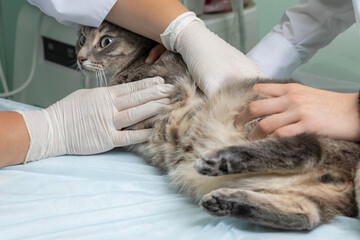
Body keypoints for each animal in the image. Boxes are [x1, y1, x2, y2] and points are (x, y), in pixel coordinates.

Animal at [76, 21, 360, 230]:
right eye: (81, 39)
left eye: (105, 41)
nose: (79, 57)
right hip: (311, 198)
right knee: (306, 216)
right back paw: (227, 201)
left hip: (269, 118)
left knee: (307, 149)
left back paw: (223, 160)